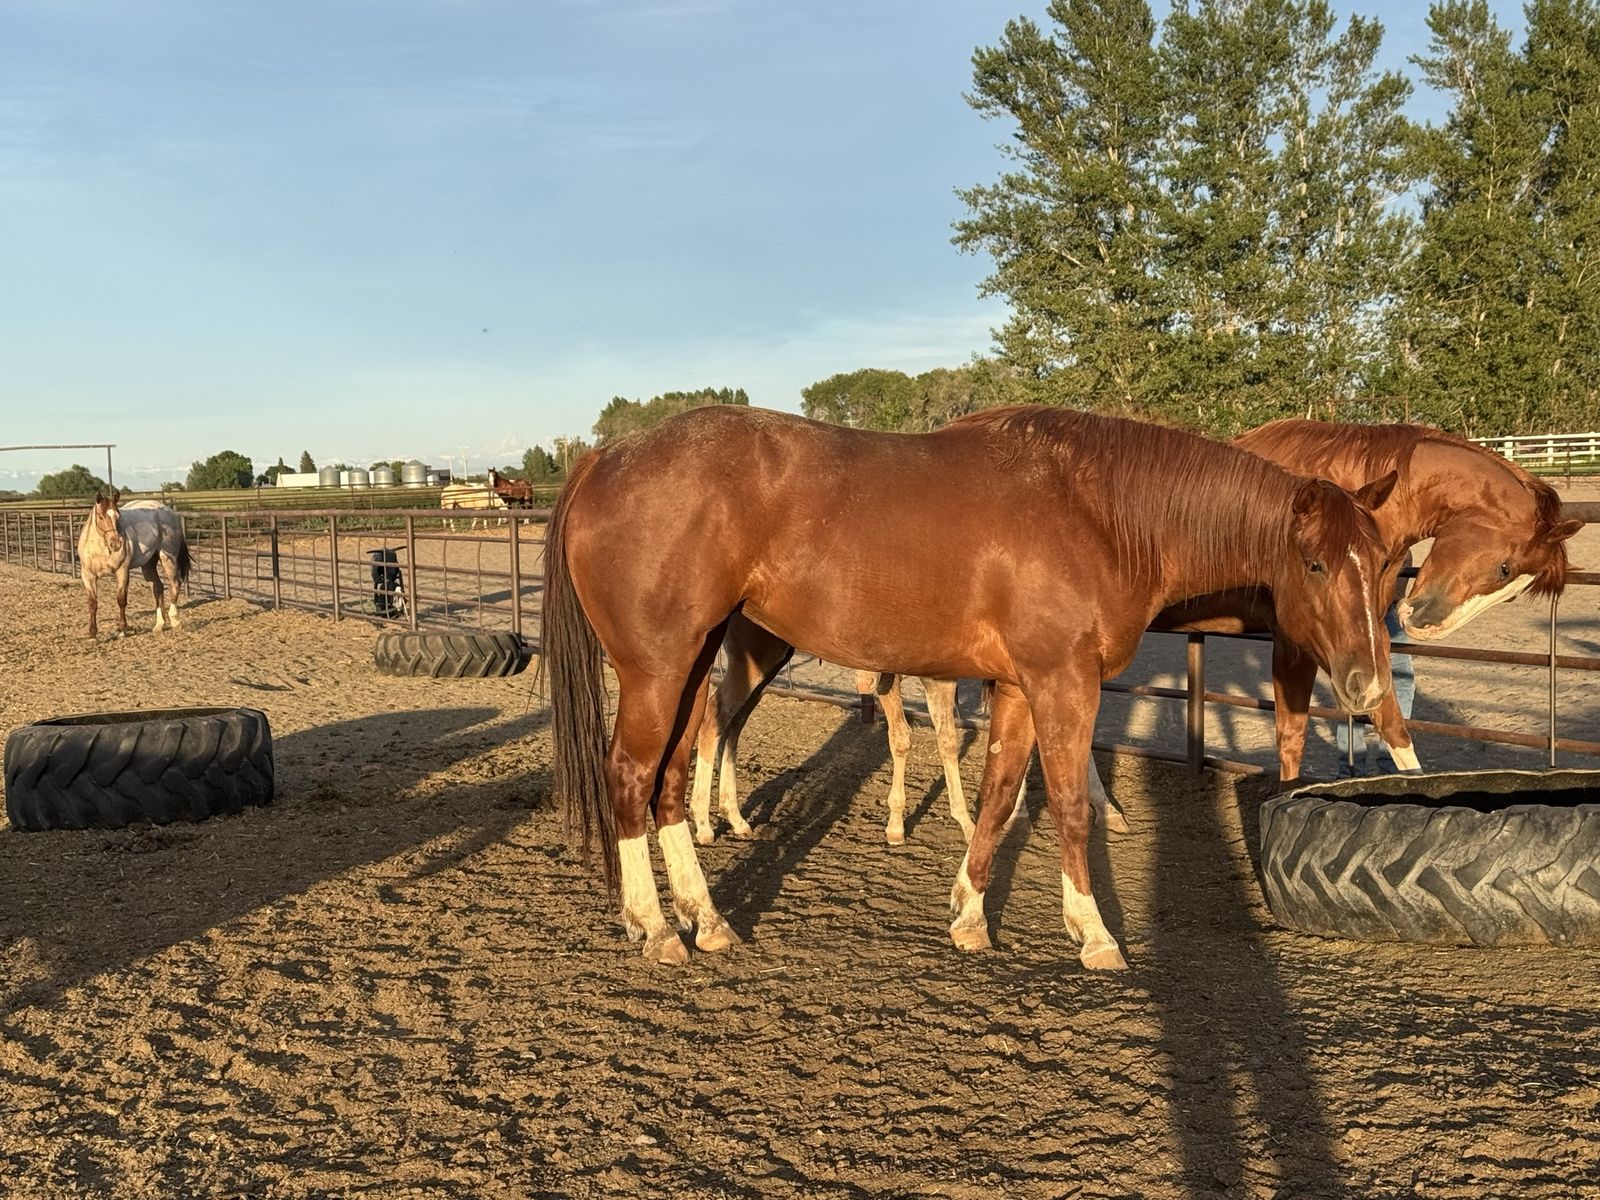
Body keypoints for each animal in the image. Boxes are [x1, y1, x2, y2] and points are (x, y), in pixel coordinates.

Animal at [77, 491, 192, 638]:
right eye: (100, 516)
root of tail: (169, 512)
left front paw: (122, 630)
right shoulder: (88, 575)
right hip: (148, 564)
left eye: (118, 516)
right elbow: (92, 603)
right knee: (158, 587)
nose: (116, 544)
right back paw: (159, 624)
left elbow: (121, 600)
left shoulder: (122, 571)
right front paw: (93, 633)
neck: (100, 549)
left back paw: (175, 620)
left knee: (175, 584)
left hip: (168, 558)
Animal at [541, 405, 1397, 970]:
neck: (1095, 508)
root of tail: (603, 459)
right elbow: (1070, 807)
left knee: (670, 781)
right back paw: (656, 927)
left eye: (1384, 562)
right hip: (657, 668)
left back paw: (706, 918)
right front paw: (1093, 932)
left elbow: (997, 798)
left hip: (694, 662)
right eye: (1315, 563)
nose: (1365, 685)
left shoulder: (1017, 688)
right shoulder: (1062, 682)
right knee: (630, 777)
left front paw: (969, 914)